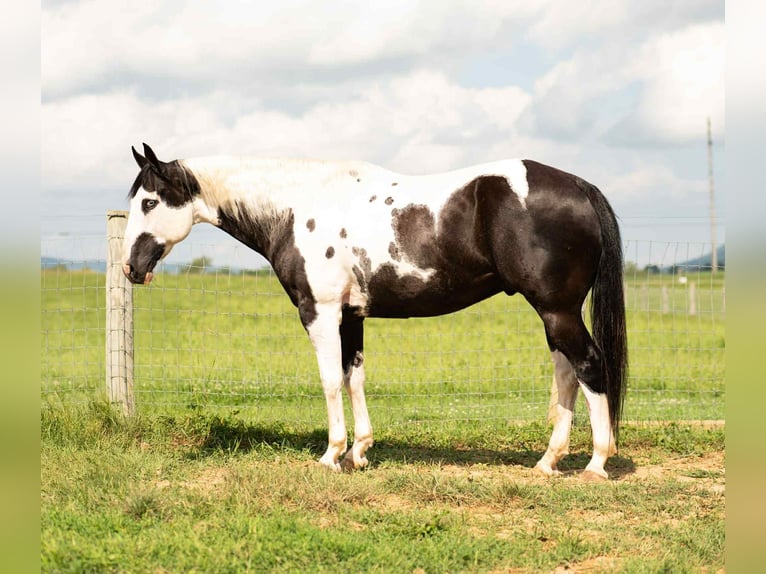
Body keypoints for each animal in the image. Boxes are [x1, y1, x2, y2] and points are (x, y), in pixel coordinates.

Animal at [122, 143, 627, 480]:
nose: (131, 267)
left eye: (149, 202)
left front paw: (331, 455)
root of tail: (580, 186)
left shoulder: (320, 312)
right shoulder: (352, 316)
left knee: (588, 366)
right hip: (553, 314)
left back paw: (596, 463)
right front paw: (359, 453)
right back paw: (549, 461)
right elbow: (354, 378)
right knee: (566, 375)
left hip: (558, 311)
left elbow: (330, 380)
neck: (297, 207)